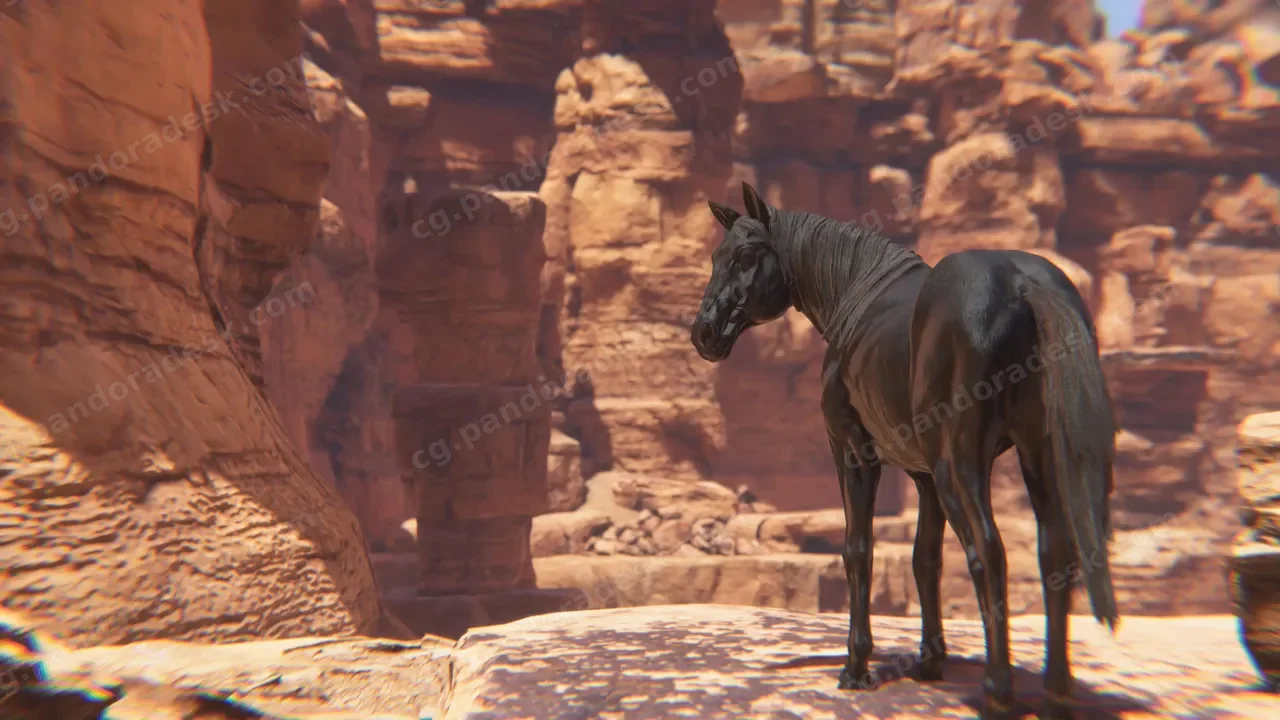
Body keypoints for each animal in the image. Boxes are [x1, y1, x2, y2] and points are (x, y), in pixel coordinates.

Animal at [690, 182, 1118, 720]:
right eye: (714, 257)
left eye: (746, 254)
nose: (703, 333)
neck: (857, 293)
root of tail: (1022, 284)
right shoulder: (925, 479)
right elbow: (924, 559)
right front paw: (930, 661)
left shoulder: (854, 453)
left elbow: (859, 550)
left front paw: (855, 668)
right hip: (1033, 456)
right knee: (1055, 551)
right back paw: (1057, 693)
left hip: (961, 467)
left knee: (988, 552)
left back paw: (998, 692)